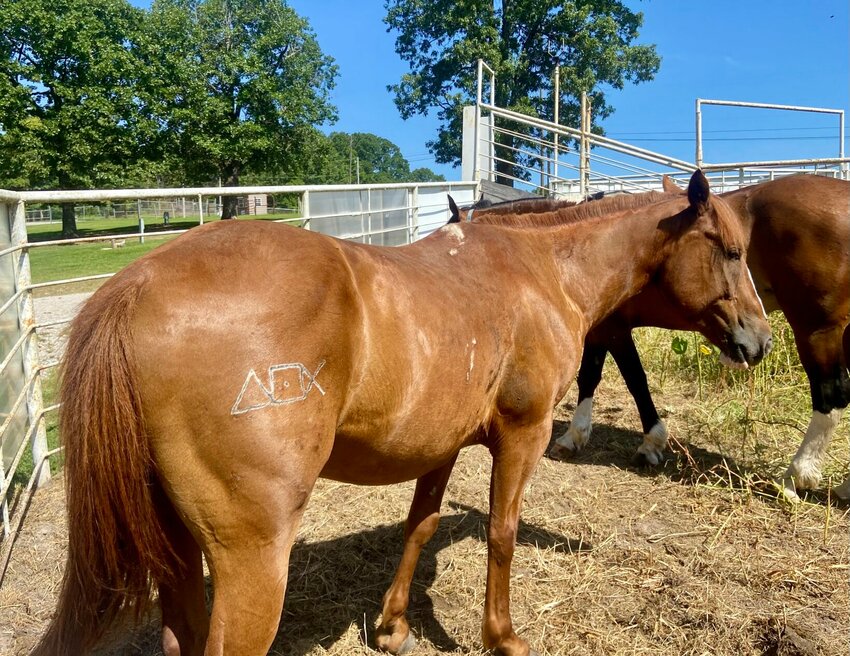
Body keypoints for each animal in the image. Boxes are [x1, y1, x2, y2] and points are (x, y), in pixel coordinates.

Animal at [34, 170, 768, 656]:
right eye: (731, 252)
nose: (759, 342)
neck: (539, 272)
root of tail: (138, 284)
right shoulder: (522, 437)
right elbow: (502, 533)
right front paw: (502, 638)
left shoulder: (439, 447)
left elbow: (421, 527)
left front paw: (393, 628)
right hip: (252, 561)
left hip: (179, 551)